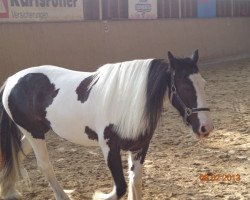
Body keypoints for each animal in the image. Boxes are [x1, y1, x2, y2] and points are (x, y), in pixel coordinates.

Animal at [0, 50, 213, 200]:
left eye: (204, 84)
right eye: (185, 86)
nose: (206, 128)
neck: (126, 101)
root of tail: (11, 80)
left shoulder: (139, 147)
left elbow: (135, 182)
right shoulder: (110, 147)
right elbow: (120, 187)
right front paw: (99, 195)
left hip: (35, 132)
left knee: (17, 156)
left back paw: (8, 190)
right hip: (34, 133)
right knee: (44, 165)